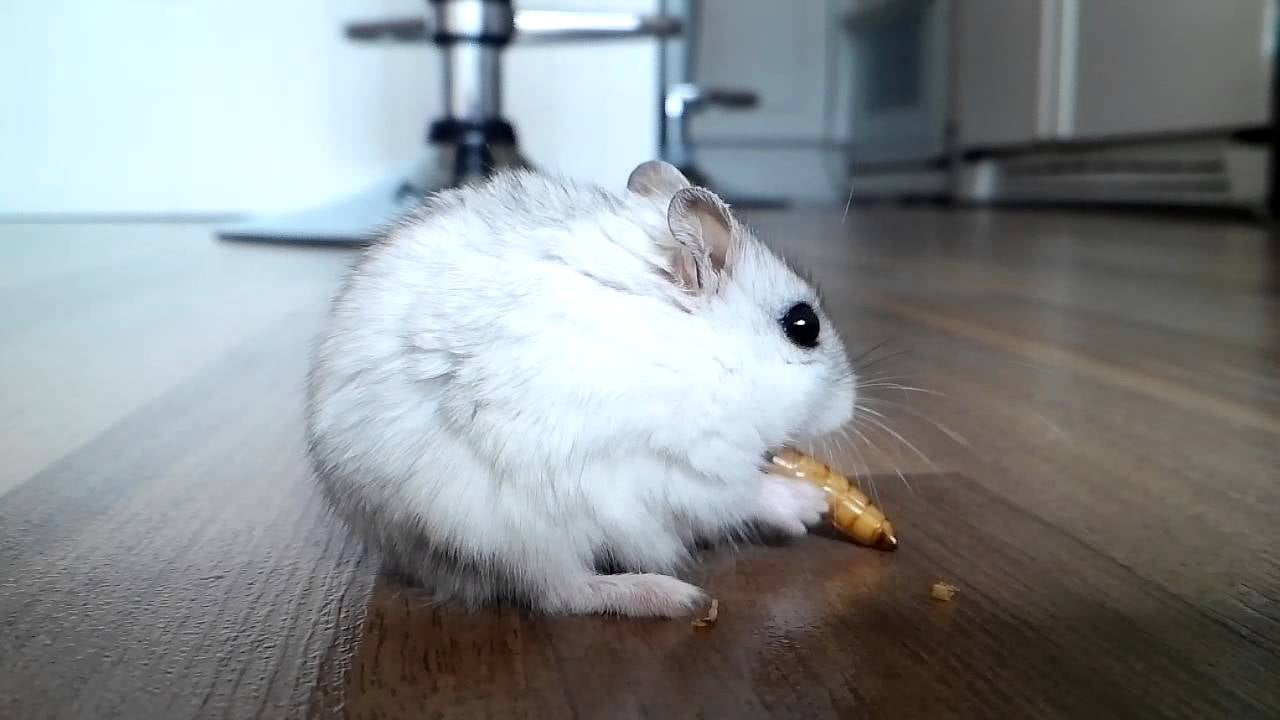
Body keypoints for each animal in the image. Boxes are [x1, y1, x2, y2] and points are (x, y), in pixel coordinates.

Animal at [305, 160, 855, 617]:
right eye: (803, 326)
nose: (851, 408)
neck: (704, 351)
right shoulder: (683, 465)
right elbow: (741, 494)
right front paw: (810, 505)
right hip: (516, 530)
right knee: (562, 594)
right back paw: (672, 597)